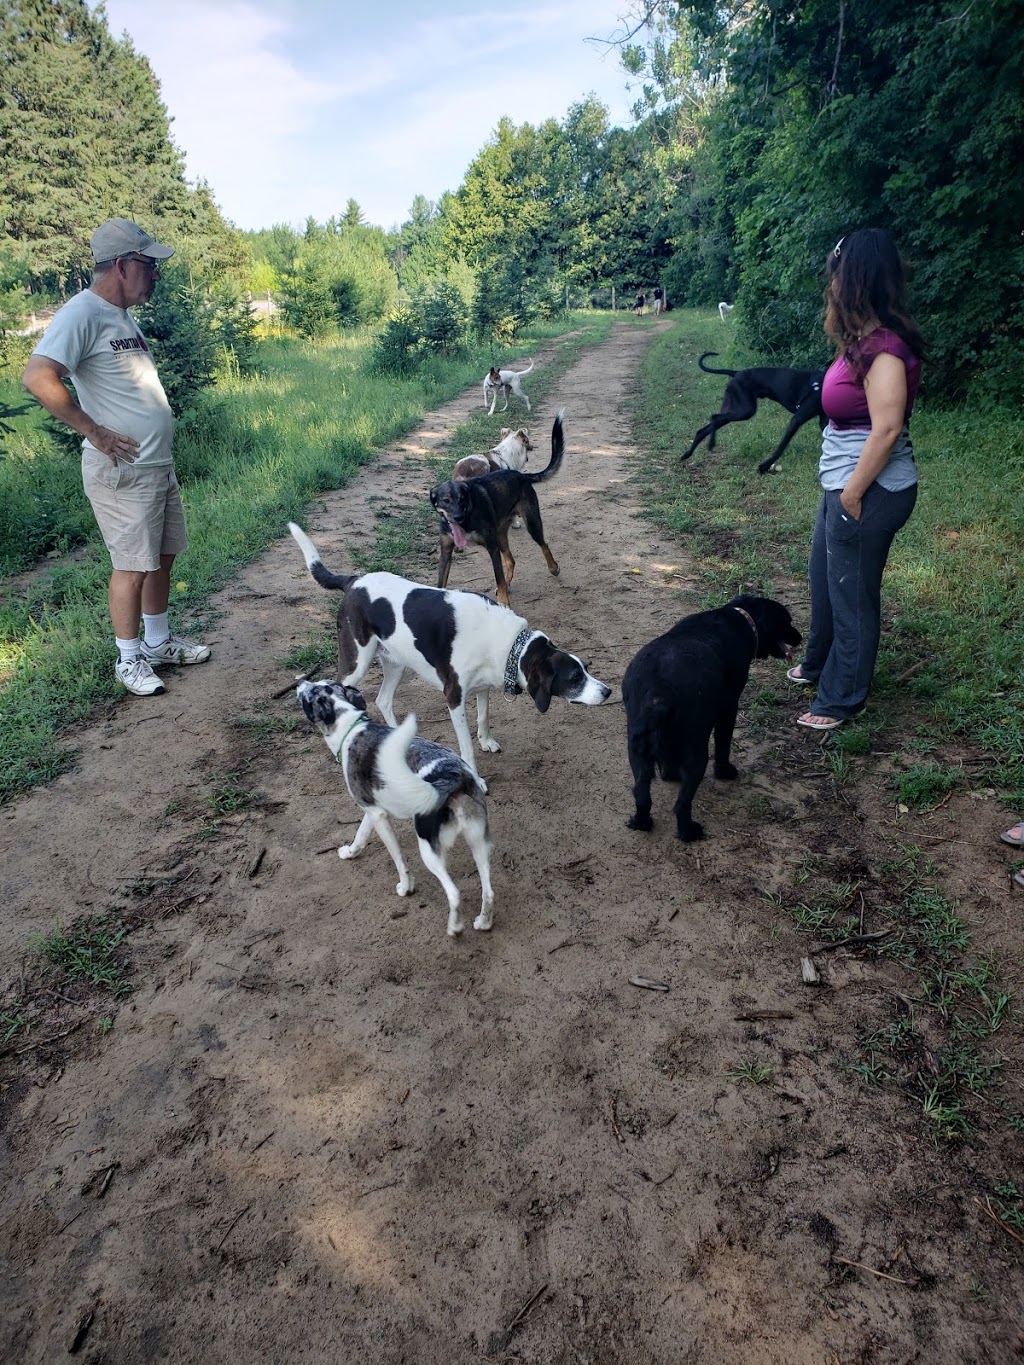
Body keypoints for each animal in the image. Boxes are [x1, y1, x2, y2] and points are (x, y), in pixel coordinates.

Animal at [285, 521, 614, 791]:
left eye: (586, 668)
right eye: (574, 677)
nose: (608, 691)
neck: (508, 644)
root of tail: (353, 581)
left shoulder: (483, 686)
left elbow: (484, 717)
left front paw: (486, 741)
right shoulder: (454, 697)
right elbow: (465, 746)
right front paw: (477, 777)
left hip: (395, 663)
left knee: (383, 700)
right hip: (357, 662)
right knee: (337, 688)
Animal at [296, 682, 496, 939]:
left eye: (309, 694)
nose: (300, 683)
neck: (351, 726)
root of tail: (454, 777)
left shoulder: (379, 817)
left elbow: (399, 859)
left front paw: (405, 887)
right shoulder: (371, 809)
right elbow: (360, 835)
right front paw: (350, 852)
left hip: (429, 849)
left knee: (454, 893)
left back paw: (454, 927)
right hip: (478, 841)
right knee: (488, 890)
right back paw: (483, 921)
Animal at [428, 406, 565, 606]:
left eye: (463, 499)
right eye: (446, 500)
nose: (458, 517)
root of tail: (521, 476)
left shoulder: (492, 547)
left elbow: (498, 577)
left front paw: (504, 601)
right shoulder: (446, 552)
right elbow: (441, 582)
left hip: (531, 523)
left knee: (543, 544)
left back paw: (553, 567)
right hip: (501, 535)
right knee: (511, 560)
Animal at [622, 597, 808, 840]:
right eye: (787, 621)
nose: (800, 637)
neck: (742, 618)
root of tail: (658, 693)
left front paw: (669, 774)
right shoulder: (728, 707)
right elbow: (723, 743)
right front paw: (724, 771)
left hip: (637, 751)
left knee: (642, 795)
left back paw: (642, 822)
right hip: (696, 753)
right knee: (681, 805)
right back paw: (689, 832)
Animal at [685, 352, 830, 475]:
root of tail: (736, 373)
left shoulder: (823, 421)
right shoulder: (797, 419)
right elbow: (781, 447)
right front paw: (764, 467)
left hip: (736, 409)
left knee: (703, 429)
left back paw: (687, 454)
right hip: (745, 410)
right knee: (714, 417)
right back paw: (710, 444)